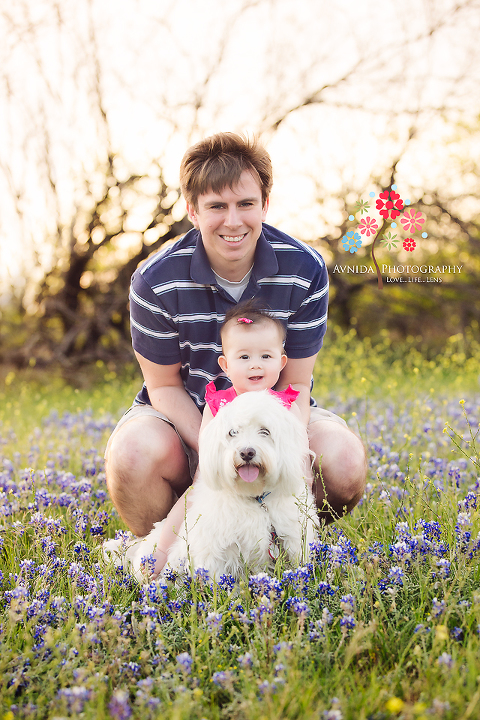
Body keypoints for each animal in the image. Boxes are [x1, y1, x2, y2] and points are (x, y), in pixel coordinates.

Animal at [103, 390, 316, 584]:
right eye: (232, 432)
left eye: (265, 431)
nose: (247, 452)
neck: (254, 497)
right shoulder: (212, 549)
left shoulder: (294, 537)